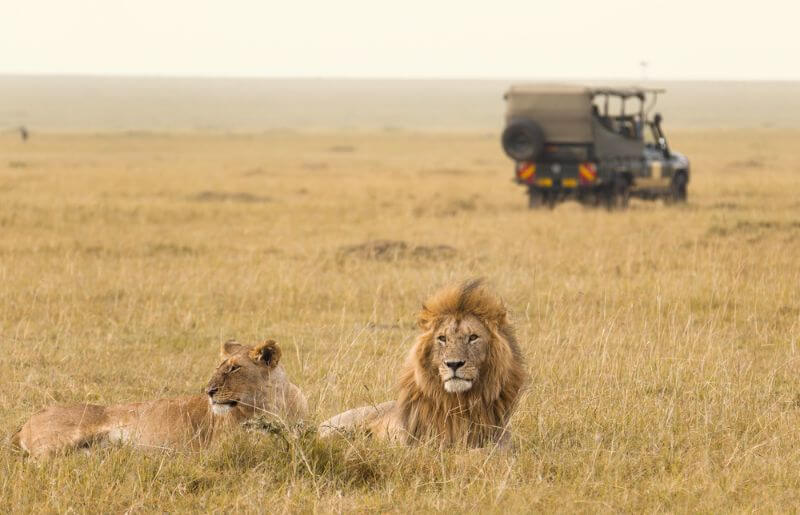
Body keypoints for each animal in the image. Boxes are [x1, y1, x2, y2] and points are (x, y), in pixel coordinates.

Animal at [12, 339, 307, 458]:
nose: (208, 391)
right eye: (220, 366)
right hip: (60, 441)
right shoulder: (221, 447)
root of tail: (25, 422)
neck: (274, 404)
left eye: (234, 368)